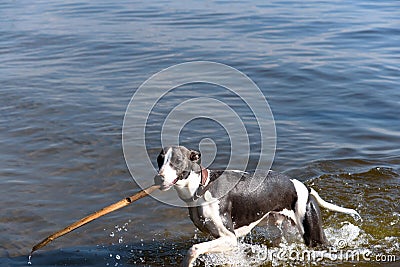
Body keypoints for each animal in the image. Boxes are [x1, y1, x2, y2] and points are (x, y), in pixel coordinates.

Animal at [155, 147, 360, 267]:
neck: (201, 186)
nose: (158, 178)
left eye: (176, 160)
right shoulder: (221, 240)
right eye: (159, 159)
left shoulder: (229, 238)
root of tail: (304, 187)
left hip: (315, 237)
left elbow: (194, 249)